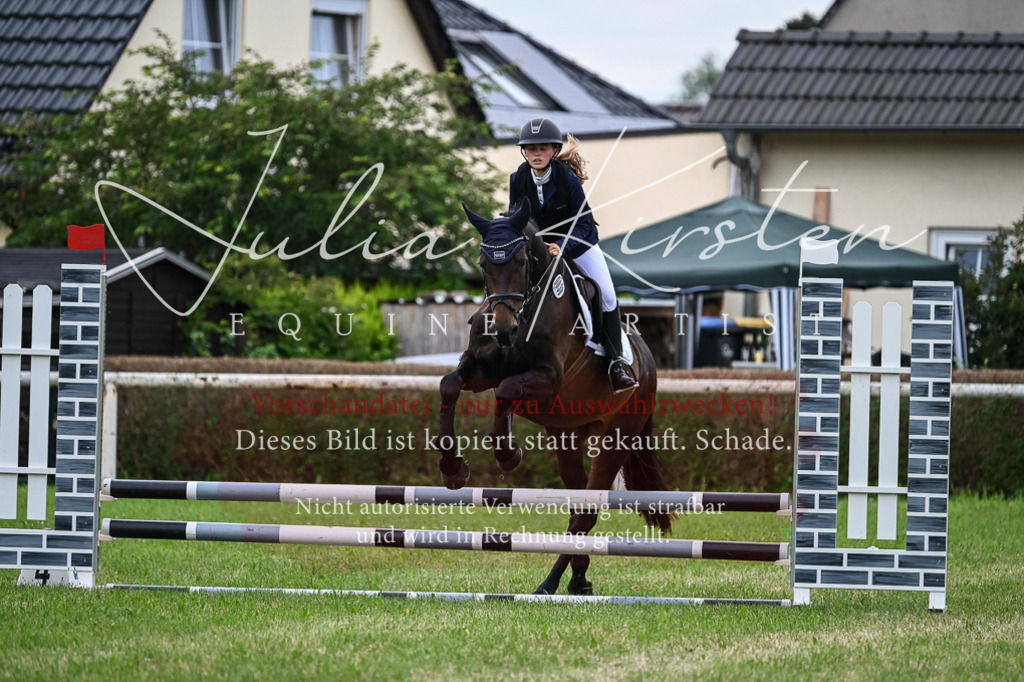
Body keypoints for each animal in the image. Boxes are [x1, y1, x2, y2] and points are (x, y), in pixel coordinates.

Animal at [436, 199, 673, 596]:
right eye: (483, 264)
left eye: (520, 262)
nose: (503, 330)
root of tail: (648, 360)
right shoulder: (481, 370)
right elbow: (450, 385)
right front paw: (453, 470)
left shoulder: (548, 378)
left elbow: (507, 390)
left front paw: (508, 454)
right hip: (568, 436)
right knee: (578, 507)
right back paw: (577, 579)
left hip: (617, 436)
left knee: (586, 514)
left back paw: (550, 583)